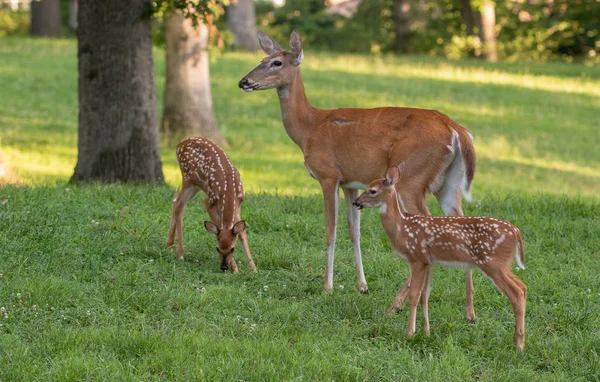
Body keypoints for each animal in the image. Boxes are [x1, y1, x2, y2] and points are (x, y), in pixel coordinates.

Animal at [165, 137, 256, 272]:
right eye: (217, 248)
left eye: (232, 249)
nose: (224, 267)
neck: (229, 191)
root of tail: (180, 143)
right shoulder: (210, 202)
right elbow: (218, 225)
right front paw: (236, 269)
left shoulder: (239, 202)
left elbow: (242, 234)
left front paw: (253, 267)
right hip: (188, 179)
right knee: (179, 207)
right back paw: (180, 253)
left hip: (196, 185)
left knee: (175, 199)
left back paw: (169, 245)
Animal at [239, 30, 478, 320]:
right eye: (262, 59)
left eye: (277, 63)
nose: (244, 81)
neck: (309, 129)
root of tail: (457, 130)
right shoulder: (350, 183)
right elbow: (355, 232)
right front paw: (362, 286)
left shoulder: (328, 175)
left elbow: (330, 230)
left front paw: (327, 288)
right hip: (448, 184)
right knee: (459, 222)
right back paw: (469, 311)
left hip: (413, 177)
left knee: (429, 224)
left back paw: (396, 304)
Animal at [354, 159, 528, 352]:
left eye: (372, 190)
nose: (355, 202)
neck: (402, 228)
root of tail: (516, 232)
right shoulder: (430, 262)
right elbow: (425, 296)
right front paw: (426, 332)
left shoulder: (417, 258)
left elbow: (414, 296)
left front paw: (410, 333)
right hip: (502, 264)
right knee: (523, 286)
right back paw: (518, 340)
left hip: (492, 262)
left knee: (516, 292)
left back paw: (519, 345)